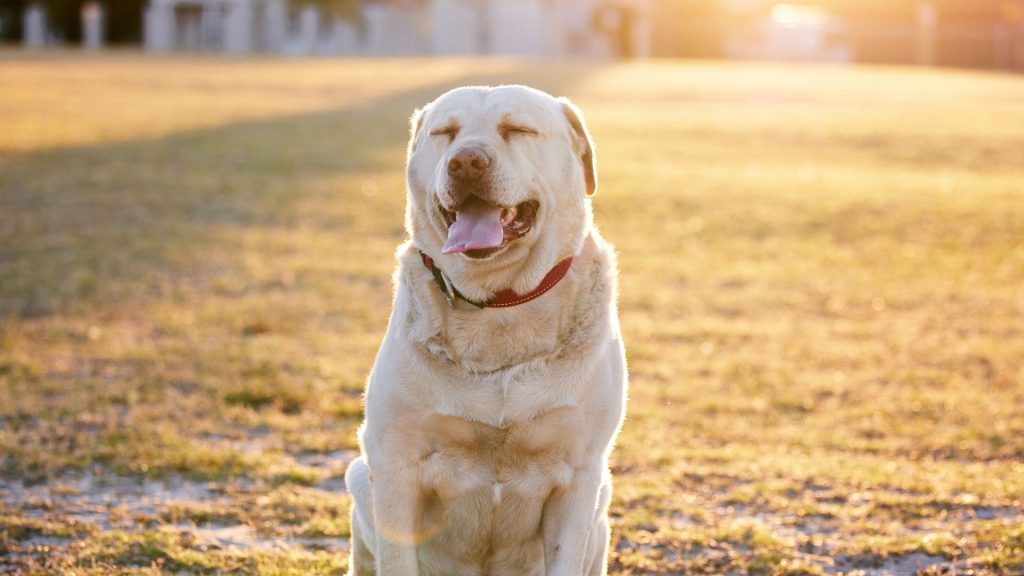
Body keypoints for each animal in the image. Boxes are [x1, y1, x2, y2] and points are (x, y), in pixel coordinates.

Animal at [348, 85, 626, 573]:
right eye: (445, 133)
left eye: (518, 129)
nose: (465, 162)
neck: (500, 302)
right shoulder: (395, 468)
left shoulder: (579, 476)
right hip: (360, 479)